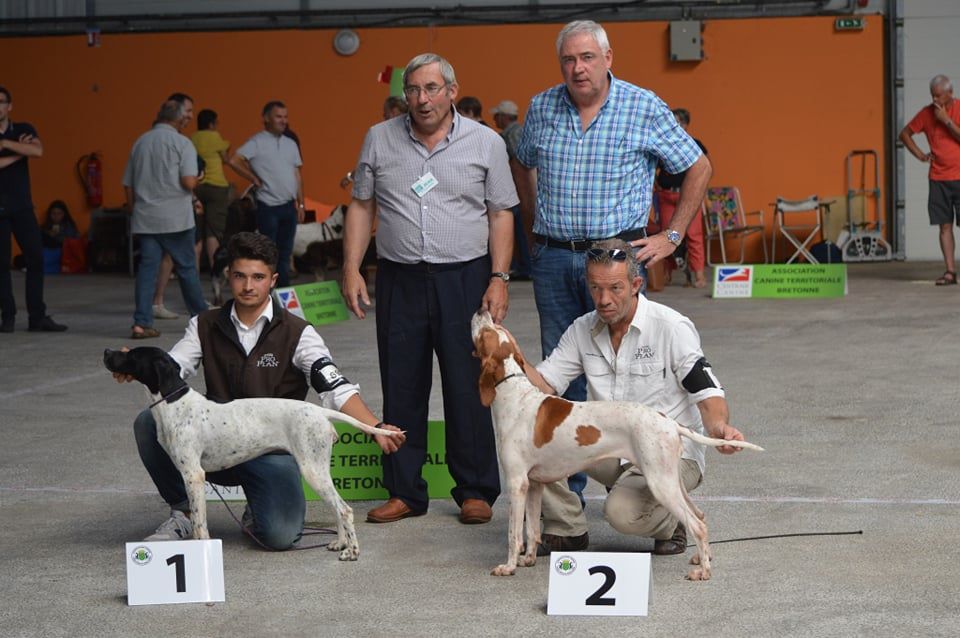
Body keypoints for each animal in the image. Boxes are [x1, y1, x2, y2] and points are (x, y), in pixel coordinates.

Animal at [105, 348, 402, 564]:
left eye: (132, 356)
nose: (107, 351)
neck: (173, 403)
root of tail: (320, 411)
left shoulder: (193, 474)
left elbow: (200, 524)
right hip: (318, 469)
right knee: (338, 508)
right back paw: (340, 542)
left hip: (312, 471)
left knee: (344, 509)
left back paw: (351, 551)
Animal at [468, 312, 760, 584]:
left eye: (486, 332)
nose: (483, 310)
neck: (514, 392)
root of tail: (668, 422)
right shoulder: (535, 484)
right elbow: (531, 530)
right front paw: (528, 559)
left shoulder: (517, 483)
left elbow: (514, 534)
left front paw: (509, 566)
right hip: (671, 480)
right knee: (700, 515)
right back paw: (702, 557)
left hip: (659, 483)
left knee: (697, 524)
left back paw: (704, 571)